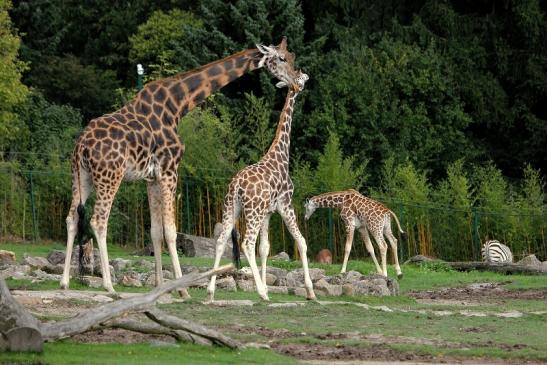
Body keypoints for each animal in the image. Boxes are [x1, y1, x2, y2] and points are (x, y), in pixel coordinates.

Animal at [62, 37, 306, 296]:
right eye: (281, 58)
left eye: (292, 58)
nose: (295, 81)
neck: (178, 105)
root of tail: (81, 145)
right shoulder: (170, 170)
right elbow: (171, 230)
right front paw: (182, 289)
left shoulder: (152, 177)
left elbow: (155, 231)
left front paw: (160, 286)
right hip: (110, 176)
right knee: (98, 221)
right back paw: (109, 286)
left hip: (81, 176)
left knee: (71, 218)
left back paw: (65, 281)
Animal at [207, 69, 316, 300]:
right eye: (299, 76)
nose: (307, 76)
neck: (281, 155)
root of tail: (236, 186)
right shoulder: (286, 205)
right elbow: (301, 241)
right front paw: (310, 291)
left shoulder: (268, 212)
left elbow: (265, 248)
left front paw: (267, 286)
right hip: (252, 212)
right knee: (247, 243)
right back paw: (260, 293)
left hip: (232, 208)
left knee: (221, 240)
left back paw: (210, 292)